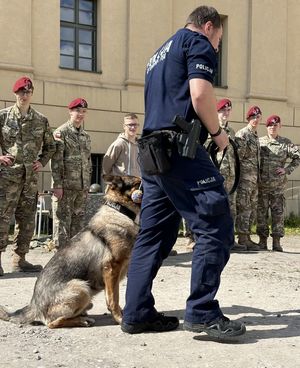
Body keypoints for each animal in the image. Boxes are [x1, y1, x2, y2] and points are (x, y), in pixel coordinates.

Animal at [0, 175, 142, 328]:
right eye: (138, 183)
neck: (119, 212)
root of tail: (34, 306)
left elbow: (113, 297)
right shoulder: (111, 268)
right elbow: (113, 299)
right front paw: (120, 319)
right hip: (81, 287)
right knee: (52, 323)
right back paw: (81, 320)